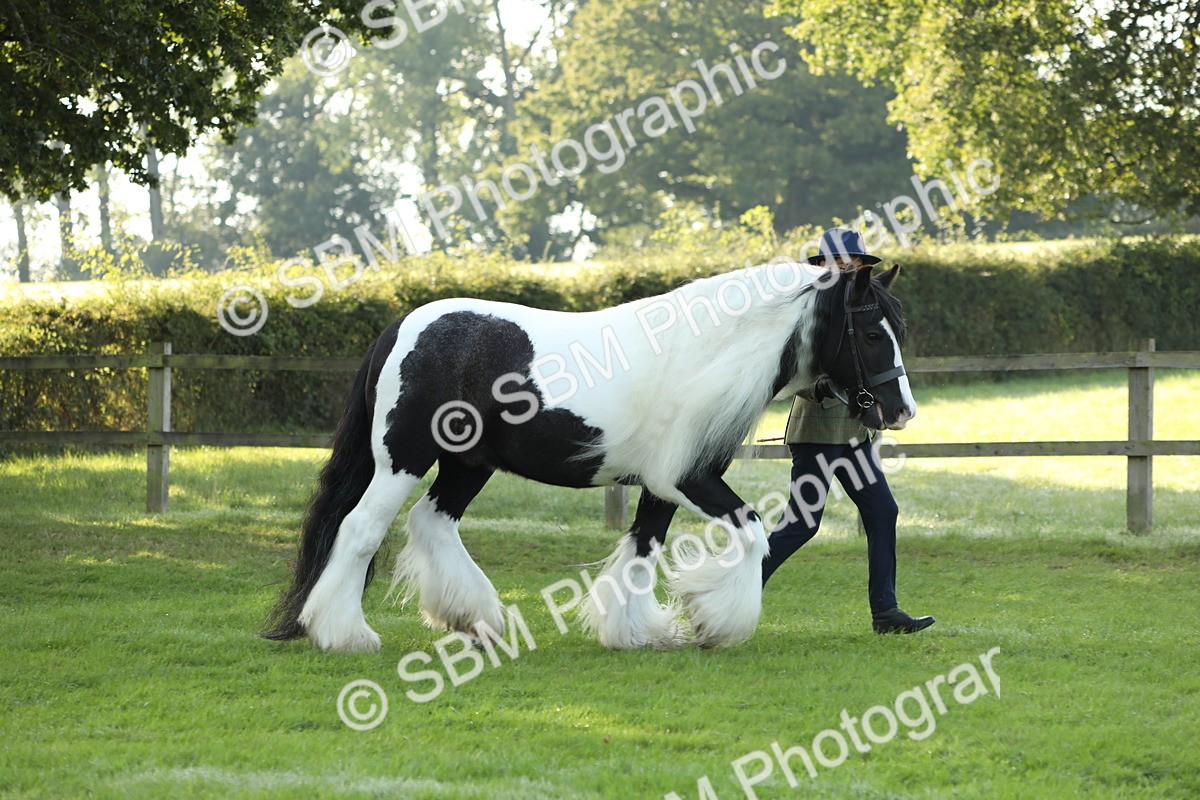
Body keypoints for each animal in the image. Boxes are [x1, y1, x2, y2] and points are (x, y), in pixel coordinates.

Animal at [261, 261, 915, 652]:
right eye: (872, 332)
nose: (900, 409)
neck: (702, 353)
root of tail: (401, 327)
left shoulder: (659, 486)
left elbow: (641, 551)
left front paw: (637, 631)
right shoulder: (688, 479)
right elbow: (753, 532)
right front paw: (714, 620)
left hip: (468, 465)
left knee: (432, 521)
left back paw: (476, 619)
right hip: (403, 460)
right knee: (360, 530)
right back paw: (345, 634)